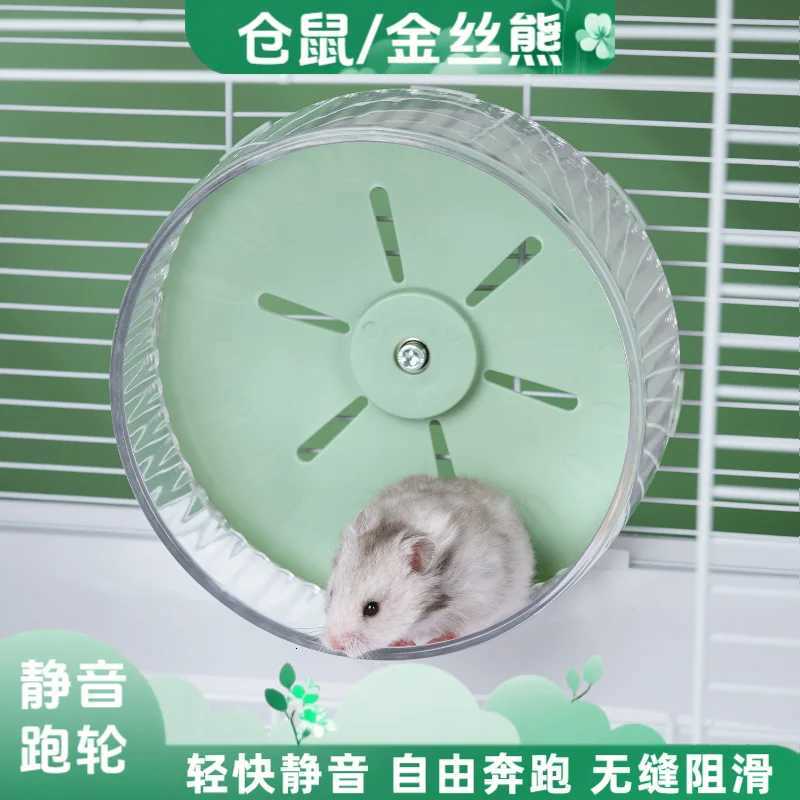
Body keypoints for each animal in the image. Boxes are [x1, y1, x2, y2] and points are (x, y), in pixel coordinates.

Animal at [322, 475, 535, 657]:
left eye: (372, 608)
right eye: (331, 594)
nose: (335, 645)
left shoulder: (481, 599)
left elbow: (460, 627)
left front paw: (435, 642)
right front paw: (402, 643)